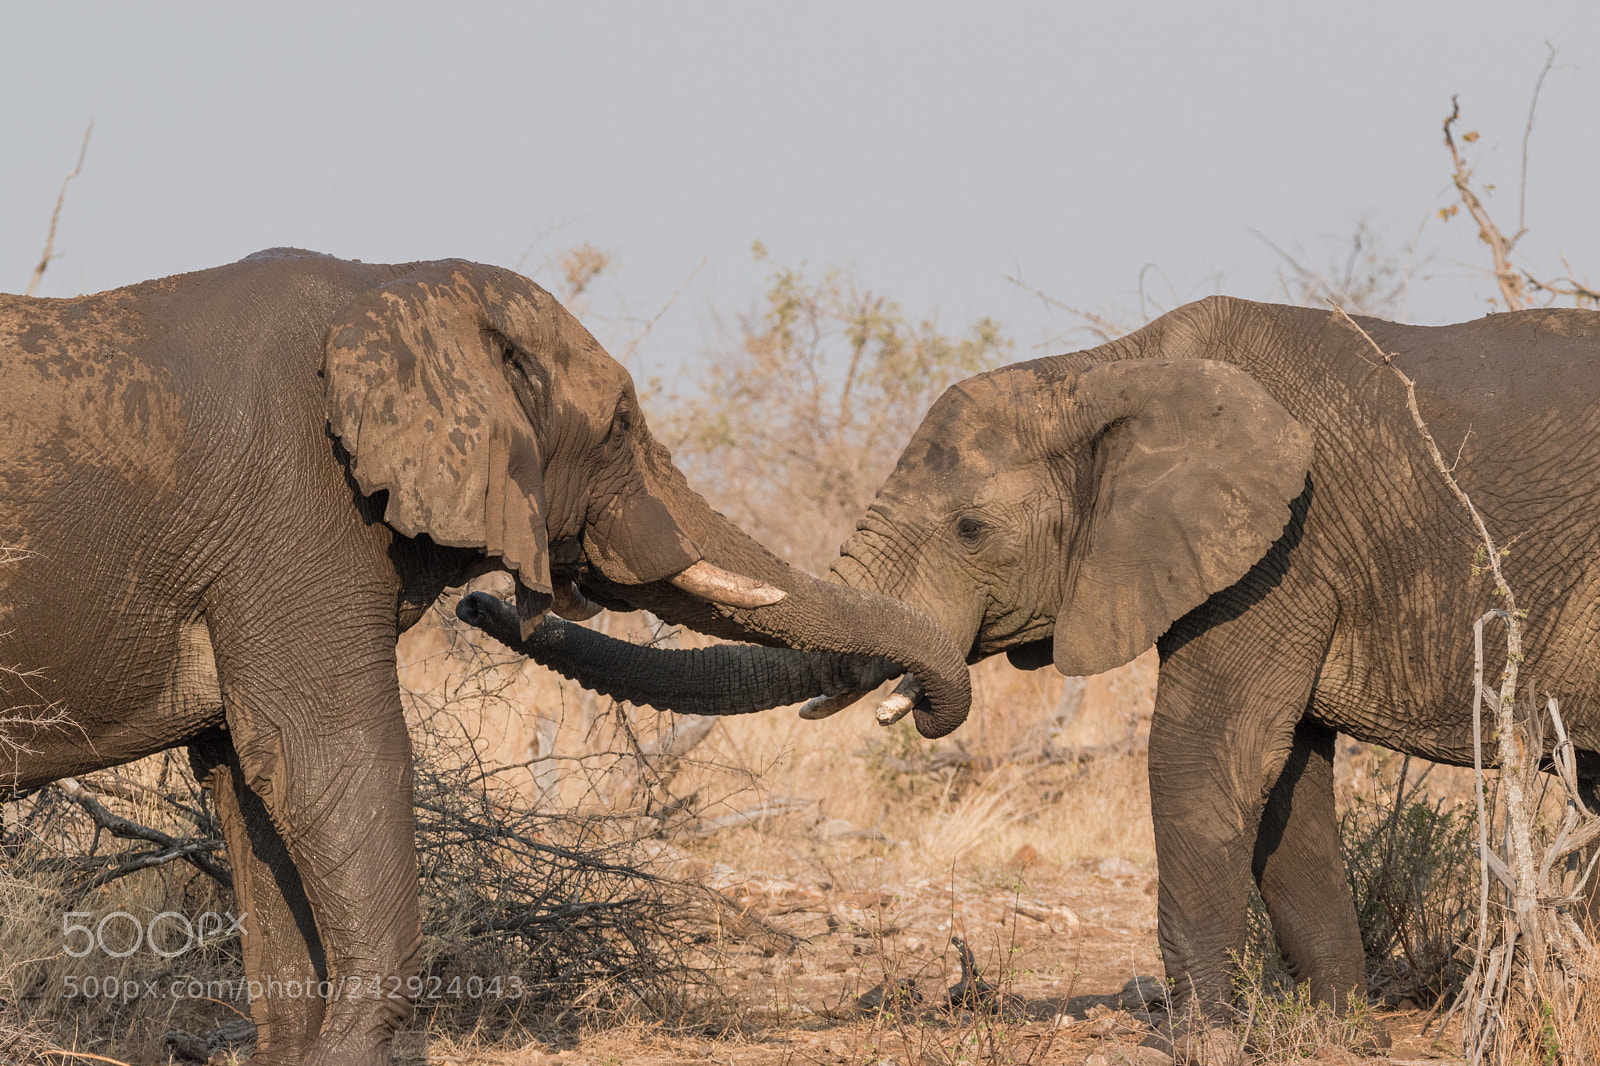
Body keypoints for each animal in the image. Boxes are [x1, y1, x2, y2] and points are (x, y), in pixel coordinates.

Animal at [0, 249, 970, 1066]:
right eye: (621, 423)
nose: (482, 605)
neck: (390, 283)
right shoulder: (296, 507)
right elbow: (325, 758)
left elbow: (248, 781)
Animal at [785, 296, 1600, 1037]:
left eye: (970, 529)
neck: (1106, 372)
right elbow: (1287, 778)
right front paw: (1337, 1034)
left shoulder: (1283, 549)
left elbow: (1204, 751)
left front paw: (1206, 1037)